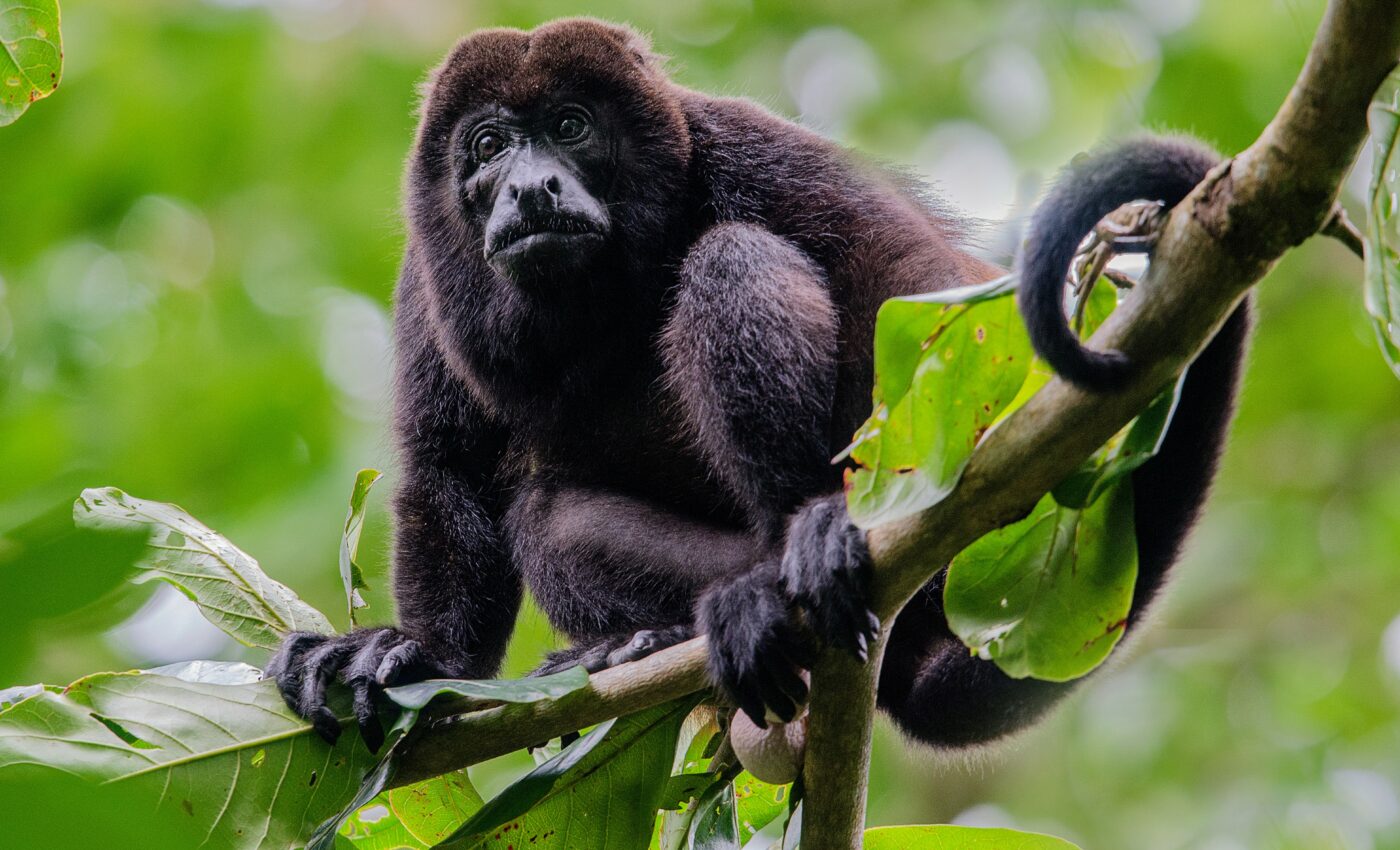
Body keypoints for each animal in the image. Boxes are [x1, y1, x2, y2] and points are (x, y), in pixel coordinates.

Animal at [266, 18, 1249, 754]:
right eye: (490, 144)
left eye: (573, 127)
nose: (532, 187)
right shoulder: (425, 276)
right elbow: (449, 469)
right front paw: (409, 655)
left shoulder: (742, 143)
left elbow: (902, 274)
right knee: (548, 518)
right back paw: (665, 633)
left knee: (734, 259)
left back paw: (801, 545)